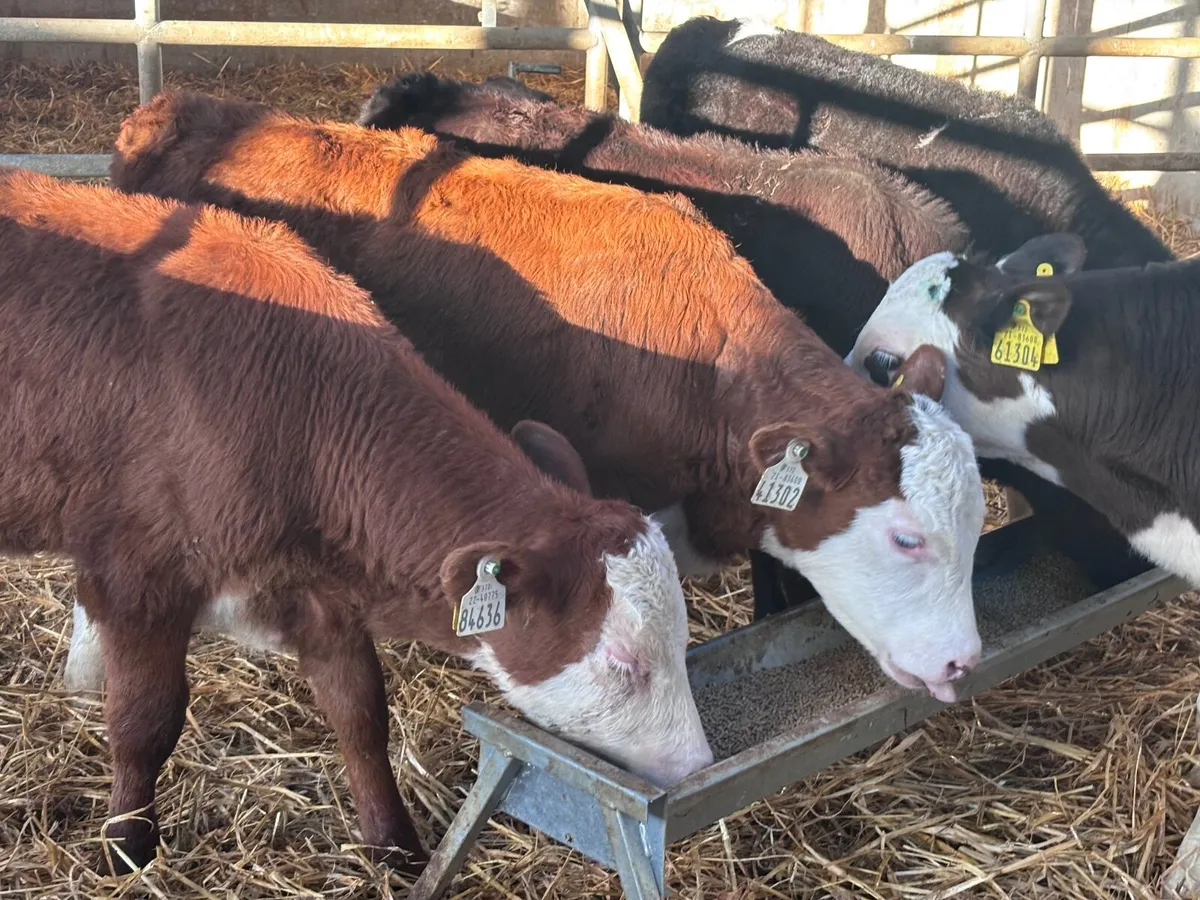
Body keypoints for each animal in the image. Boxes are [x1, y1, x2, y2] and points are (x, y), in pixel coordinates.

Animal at [0, 167, 711, 874]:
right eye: (624, 662)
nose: (695, 767)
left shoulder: (319, 593)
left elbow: (361, 715)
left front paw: (394, 845)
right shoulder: (139, 575)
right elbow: (145, 723)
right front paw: (127, 845)